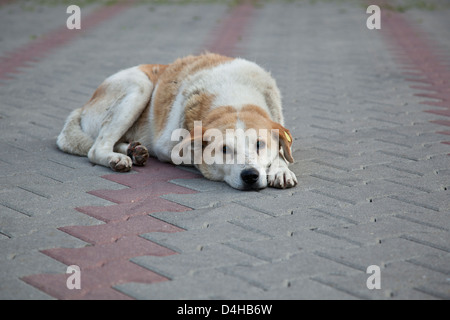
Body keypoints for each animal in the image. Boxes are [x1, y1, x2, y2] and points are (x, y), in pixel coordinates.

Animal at [57, 53, 296, 190]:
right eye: (224, 149)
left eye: (259, 144)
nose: (250, 175)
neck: (233, 98)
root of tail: (83, 106)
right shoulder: (168, 148)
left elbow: (281, 152)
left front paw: (280, 170)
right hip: (139, 85)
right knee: (96, 148)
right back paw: (118, 158)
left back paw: (134, 150)